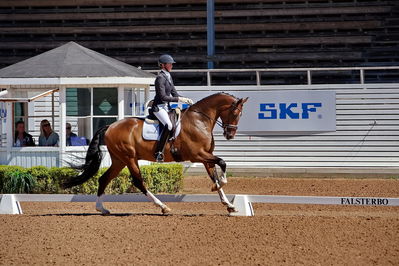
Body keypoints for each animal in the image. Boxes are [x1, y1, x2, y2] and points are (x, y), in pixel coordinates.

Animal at [63, 92, 248, 215]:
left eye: (241, 114)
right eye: (235, 112)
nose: (230, 135)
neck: (199, 121)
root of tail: (111, 126)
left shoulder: (205, 157)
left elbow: (214, 175)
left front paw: (228, 204)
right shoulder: (198, 155)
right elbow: (223, 163)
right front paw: (220, 185)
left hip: (119, 160)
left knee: (104, 179)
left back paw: (101, 208)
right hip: (129, 158)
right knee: (139, 182)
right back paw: (163, 207)